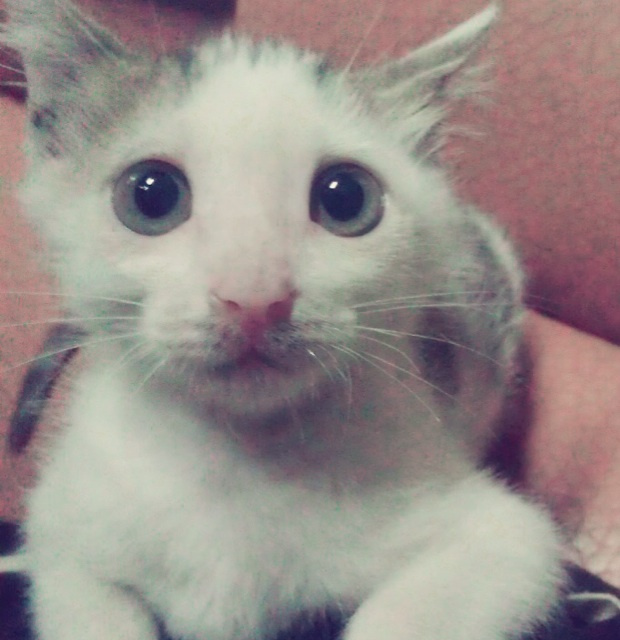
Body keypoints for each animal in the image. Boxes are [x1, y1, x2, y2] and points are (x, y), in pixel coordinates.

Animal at [1, 1, 564, 639]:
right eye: (151, 195)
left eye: (347, 198)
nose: (254, 296)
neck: (237, 460)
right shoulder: (65, 528)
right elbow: (90, 601)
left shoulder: (498, 537)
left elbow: (422, 603)